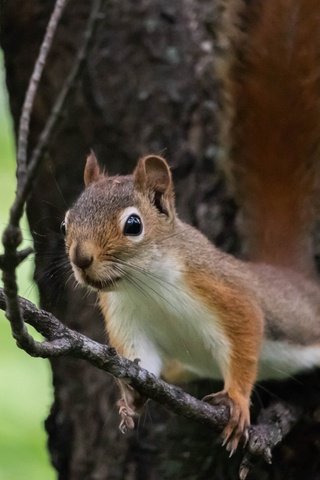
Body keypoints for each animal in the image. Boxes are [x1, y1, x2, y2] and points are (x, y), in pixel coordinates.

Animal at [63, 0, 320, 456]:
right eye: (66, 222)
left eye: (133, 224)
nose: (81, 259)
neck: (146, 286)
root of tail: (292, 278)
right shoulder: (128, 321)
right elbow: (140, 361)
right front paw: (129, 398)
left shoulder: (225, 292)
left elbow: (245, 339)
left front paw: (237, 402)